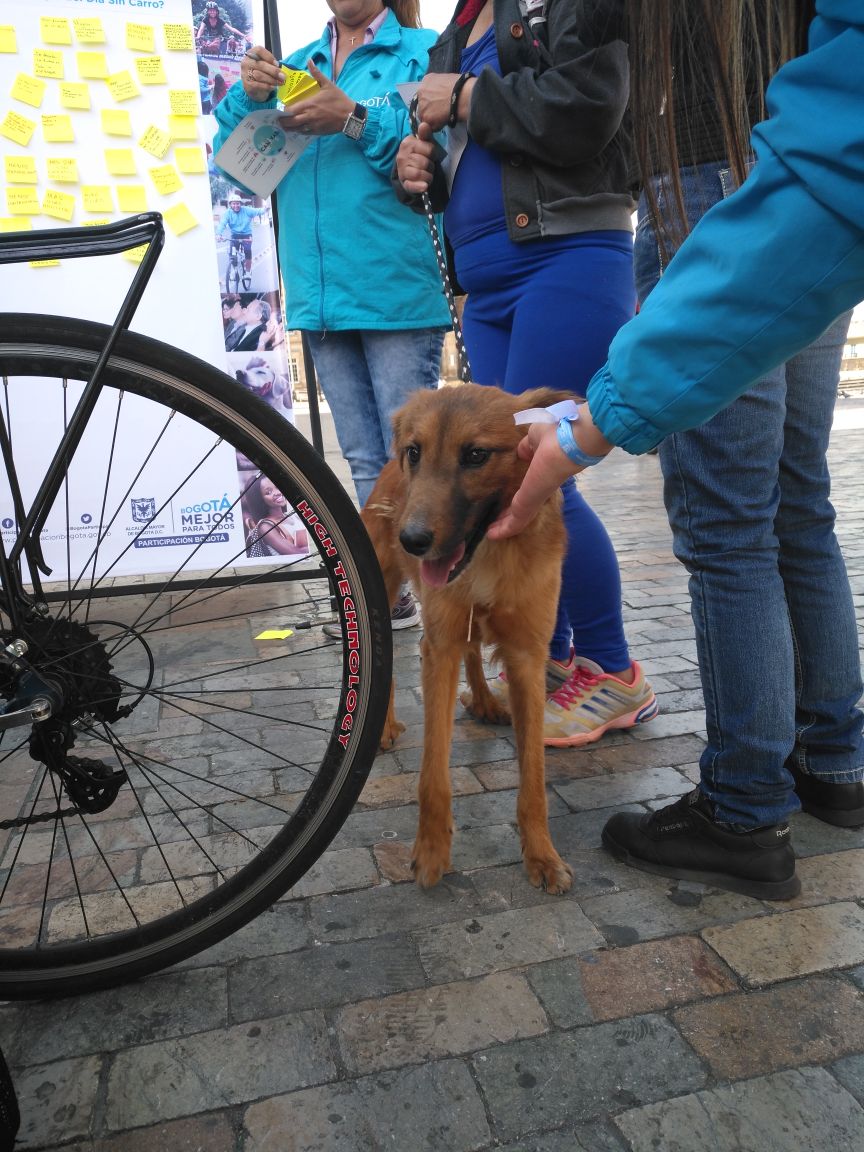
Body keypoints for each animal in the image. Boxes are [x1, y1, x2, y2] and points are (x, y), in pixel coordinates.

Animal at [359, 382, 576, 893]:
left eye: (476, 454)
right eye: (415, 452)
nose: (412, 540)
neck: (488, 561)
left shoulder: (527, 657)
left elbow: (533, 777)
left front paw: (541, 854)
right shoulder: (440, 647)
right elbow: (432, 774)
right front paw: (431, 851)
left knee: (474, 651)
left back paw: (483, 700)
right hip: (385, 588)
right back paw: (385, 725)